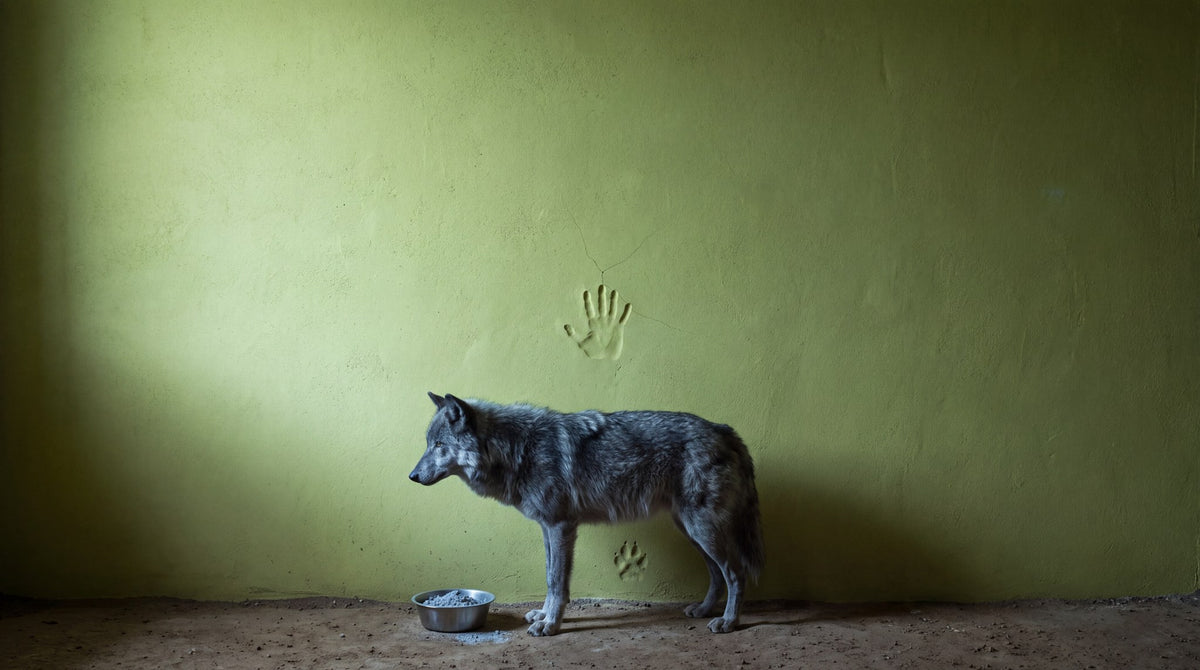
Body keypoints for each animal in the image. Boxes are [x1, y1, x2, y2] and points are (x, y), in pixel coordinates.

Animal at [409, 393, 765, 636]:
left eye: (438, 445)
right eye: (427, 443)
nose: (412, 476)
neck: (517, 449)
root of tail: (725, 430)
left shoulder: (561, 526)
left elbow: (557, 581)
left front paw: (551, 625)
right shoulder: (548, 529)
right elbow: (550, 578)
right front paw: (544, 616)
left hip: (703, 530)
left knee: (736, 573)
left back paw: (728, 621)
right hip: (692, 532)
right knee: (717, 574)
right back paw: (704, 610)